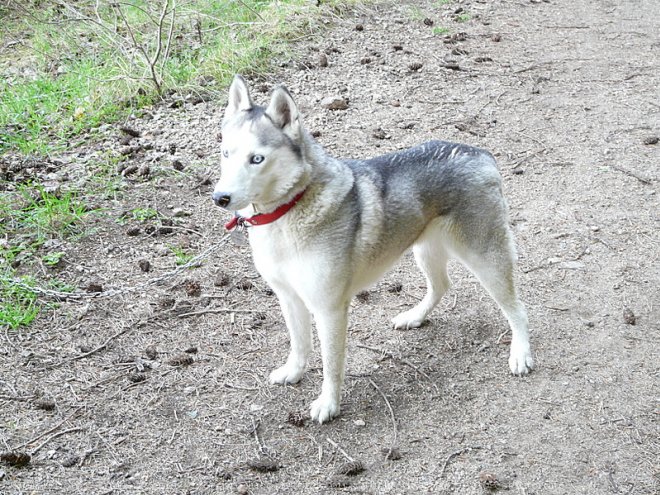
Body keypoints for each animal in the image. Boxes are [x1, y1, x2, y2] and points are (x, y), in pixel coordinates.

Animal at [214, 75, 532, 424]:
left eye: (257, 159)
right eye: (226, 153)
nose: (220, 198)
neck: (289, 208)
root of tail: (480, 153)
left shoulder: (329, 310)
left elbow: (331, 366)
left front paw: (329, 404)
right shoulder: (289, 297)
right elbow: (299, 344)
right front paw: (294, 372)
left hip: (485, 260)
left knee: (517, 309)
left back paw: (521, 353)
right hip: (424, 250)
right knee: (441, 286)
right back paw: (415, 316)